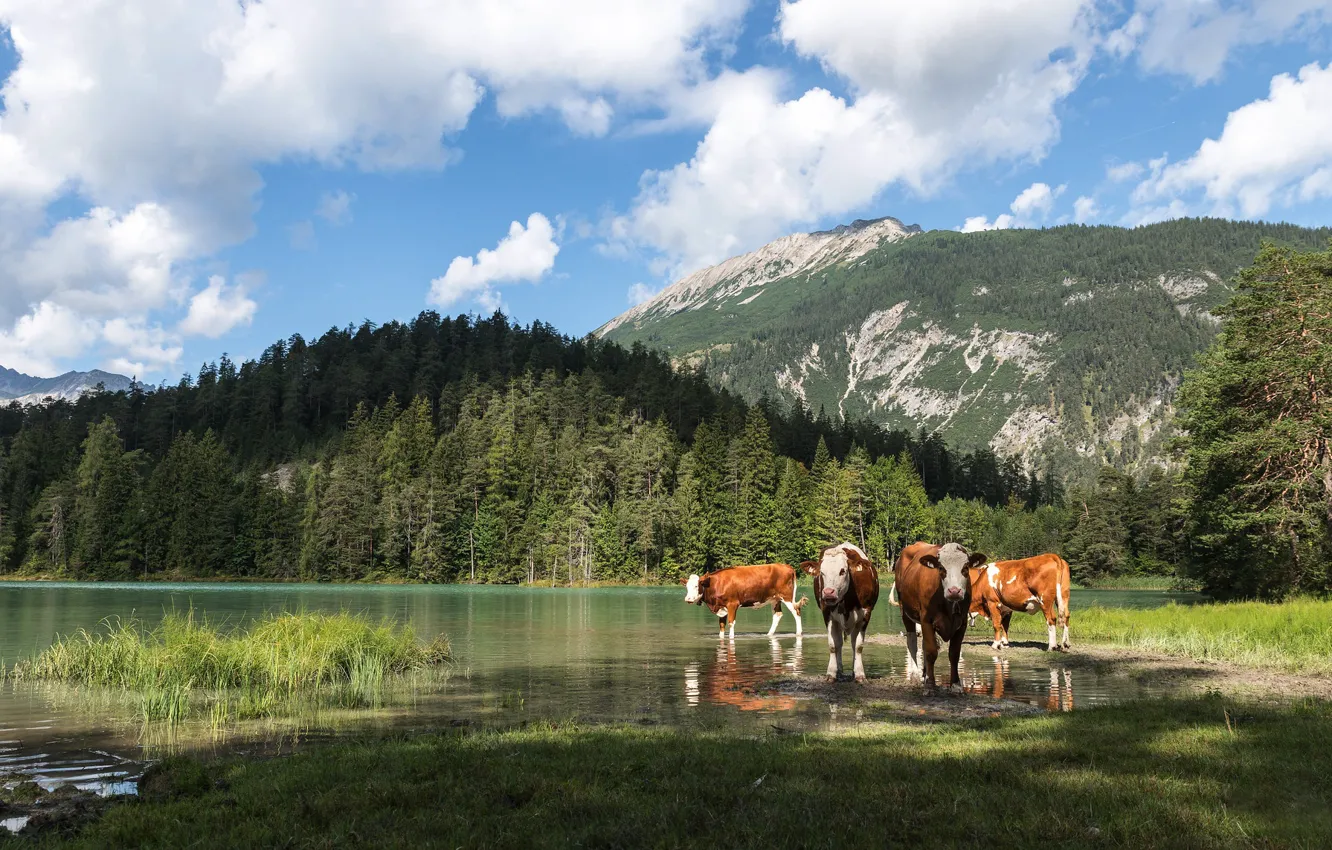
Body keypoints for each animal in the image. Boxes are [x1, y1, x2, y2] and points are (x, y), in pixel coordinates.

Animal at [800, 542, 880, 682]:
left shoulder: (866, 614)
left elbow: (858, 646)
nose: (828, 592)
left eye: (842, 571)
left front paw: (859, 674)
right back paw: (840, 670)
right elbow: (833, 645)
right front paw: (831, 673)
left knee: (852, 643)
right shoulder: (827, 614)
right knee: (840, 644)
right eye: (822, 572)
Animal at [893, 541, 987, 690]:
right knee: (912, 643)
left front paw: (955, 684)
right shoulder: (926, 620)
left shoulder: (962, 623)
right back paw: (915, 675)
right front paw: (930, 685)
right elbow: (931, 652)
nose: (954, 591)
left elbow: (954, 654)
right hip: (905, 613)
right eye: (941, 568)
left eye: (965, 567)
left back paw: (924, 675)